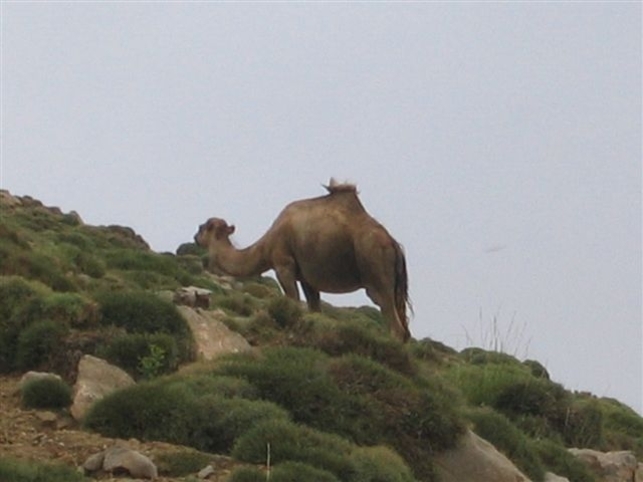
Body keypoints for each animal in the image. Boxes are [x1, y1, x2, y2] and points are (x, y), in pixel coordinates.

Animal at [194, 179, 412, 340]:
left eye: (202, 227)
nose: (195, 237)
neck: (266, 246)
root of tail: (394, 245)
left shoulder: (283, 265)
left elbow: (292, 301)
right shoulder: (308, 278)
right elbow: (314, 310)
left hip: (375, 269)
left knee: (395, 325)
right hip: (393, 284)